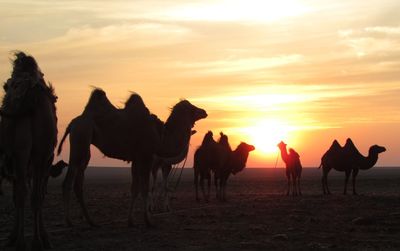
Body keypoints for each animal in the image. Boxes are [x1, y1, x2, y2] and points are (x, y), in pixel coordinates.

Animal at [0, 52, 57, 250]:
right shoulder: (43, 158)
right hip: (35, 154)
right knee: (32, 195)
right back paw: (33, 241)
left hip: (22, 153)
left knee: (24, 194)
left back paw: (24, 242)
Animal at [57, 90, 208, 227]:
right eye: (192, 108)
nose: (204, 111)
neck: (160, 136)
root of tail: (72, 123)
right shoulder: (146, 156)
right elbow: (145, 188)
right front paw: (148, 220)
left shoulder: (137, 158)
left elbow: (134, 189)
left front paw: (131, 221)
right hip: (81, 138)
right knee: (68, 181)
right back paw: (69, 221)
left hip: (83, 146)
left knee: (78, 183)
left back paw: (90, 221)